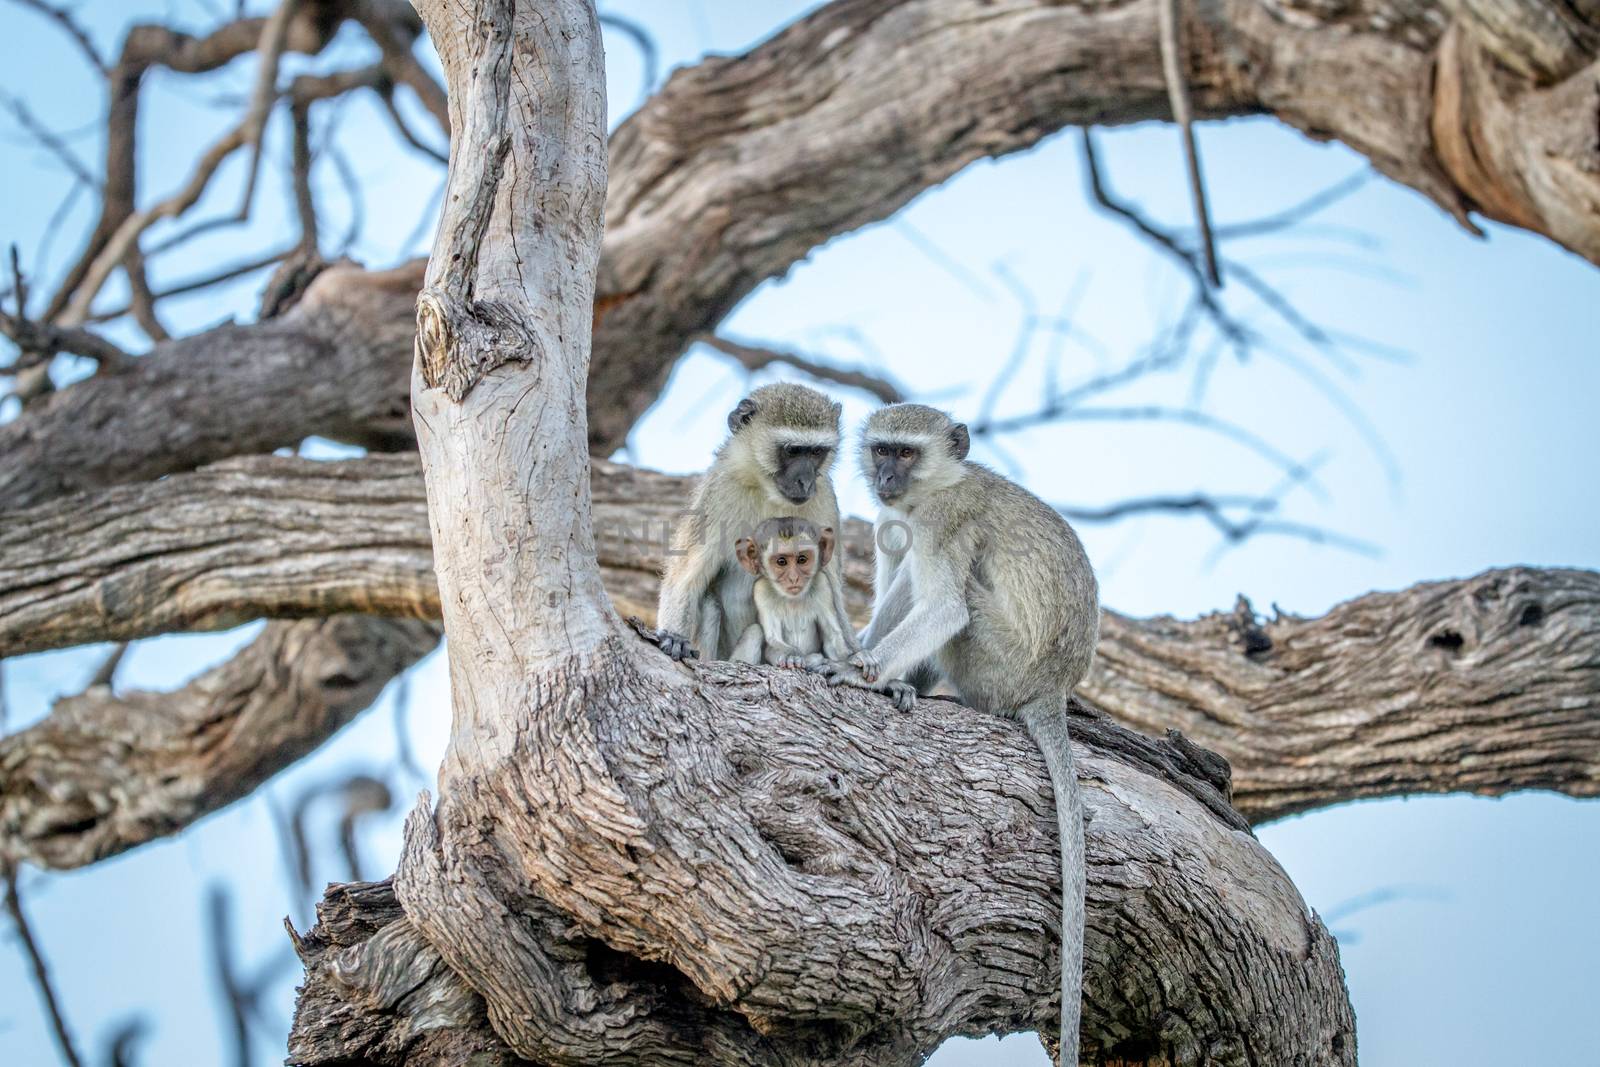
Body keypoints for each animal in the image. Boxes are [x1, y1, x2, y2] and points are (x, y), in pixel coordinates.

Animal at [656, 383, 870, 668]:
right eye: (792, 450)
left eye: (816, 452)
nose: (805, 481)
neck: (767, 491)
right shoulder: (718, 492)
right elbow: (686, 576)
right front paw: (674, 636)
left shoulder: (824, 497)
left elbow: (832, 589)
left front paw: (859, 657)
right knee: (709, 603)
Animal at [729, 518, 915, 710]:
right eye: (781, 561)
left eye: (802, 559)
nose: (794, 578)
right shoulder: (761, 590)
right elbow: (772, 640)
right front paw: (793, 655)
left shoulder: (822, 584)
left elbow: (833, 638)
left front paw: (856, 660)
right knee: (755, 631)